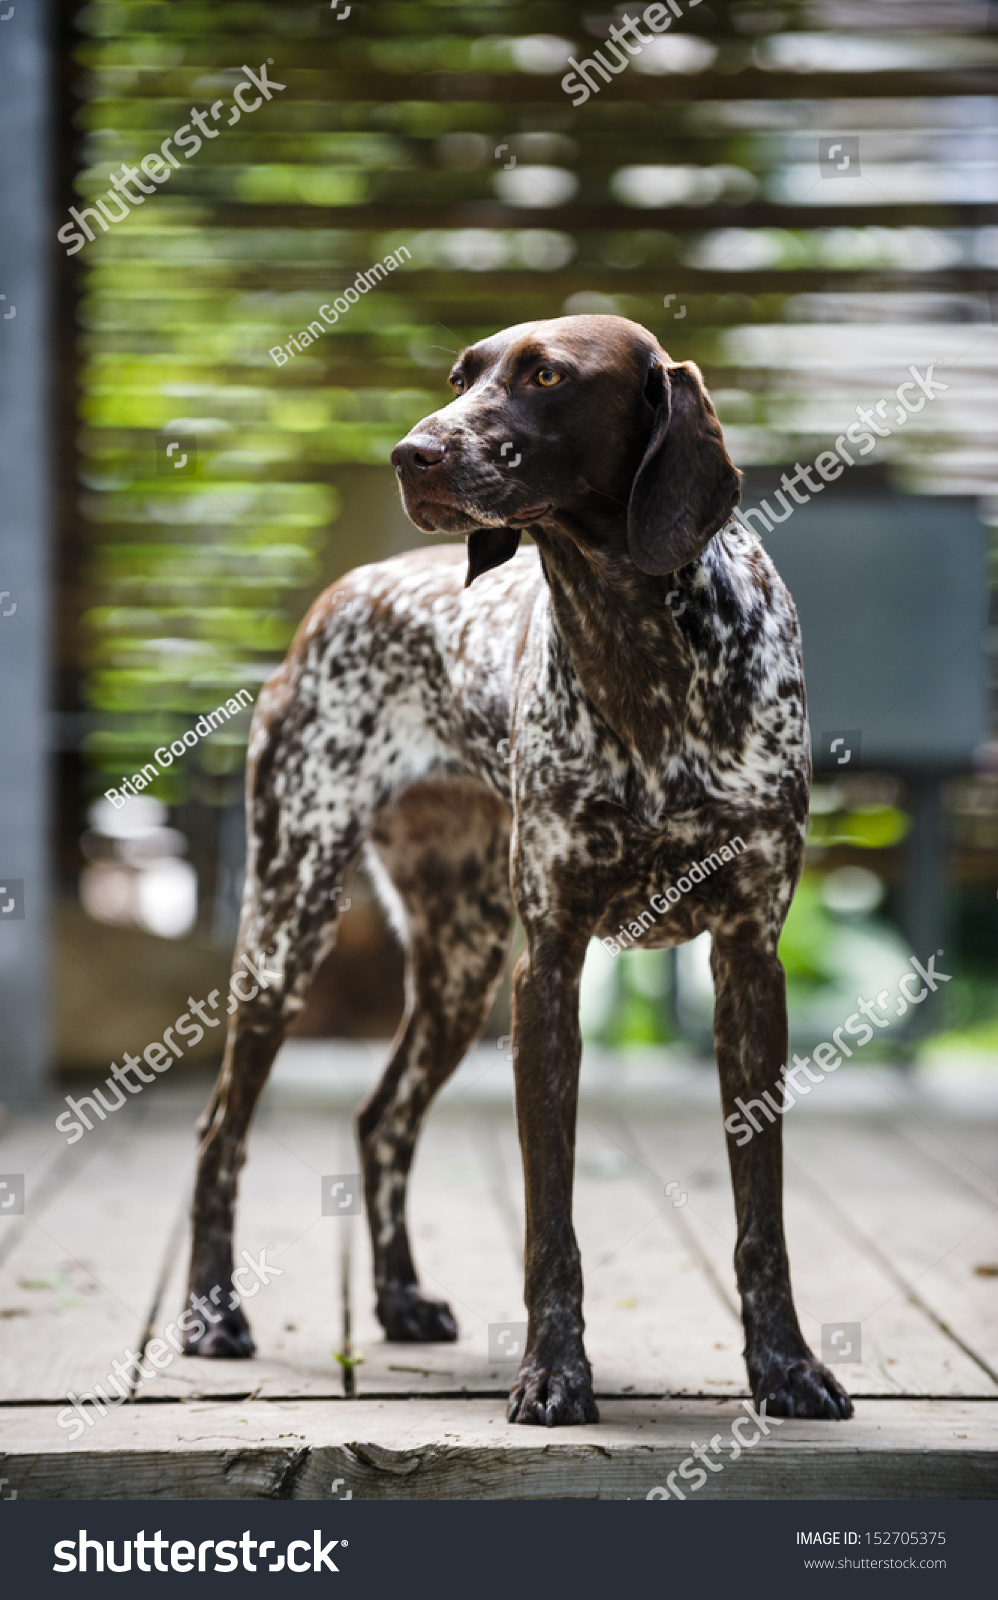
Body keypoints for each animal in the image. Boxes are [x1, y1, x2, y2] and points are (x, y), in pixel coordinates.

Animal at [188, 312, 857, 1427]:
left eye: (545, 376)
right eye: (463, 374)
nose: (411, 453)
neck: (636, 646)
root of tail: (343, 593)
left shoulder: (748, 965)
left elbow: (759, 1215)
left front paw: (786, 1368)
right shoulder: (546, 970)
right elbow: (552, 1218)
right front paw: (553, 1372)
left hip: (457, 968)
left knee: (380, 1121)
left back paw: (399, 1298)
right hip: (291, 928)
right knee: (218, 1132)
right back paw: (208, 1317)